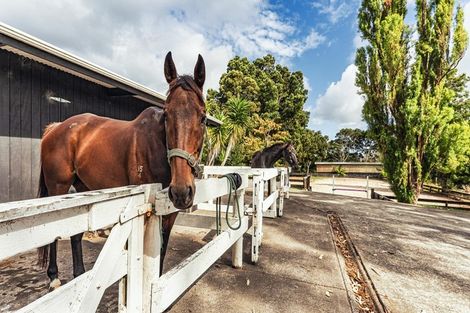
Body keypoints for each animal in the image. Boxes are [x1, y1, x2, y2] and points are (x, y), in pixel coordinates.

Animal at [36, 51, 206, 288]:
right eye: (166, 115)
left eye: (203, 117)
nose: (181, 191)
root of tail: (55, 128)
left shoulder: (169, 213)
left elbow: (161, 254)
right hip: (57, 188)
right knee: (53, 235)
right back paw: (54, 277)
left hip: (82, 187)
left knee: (76, 235)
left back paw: (79, 274)